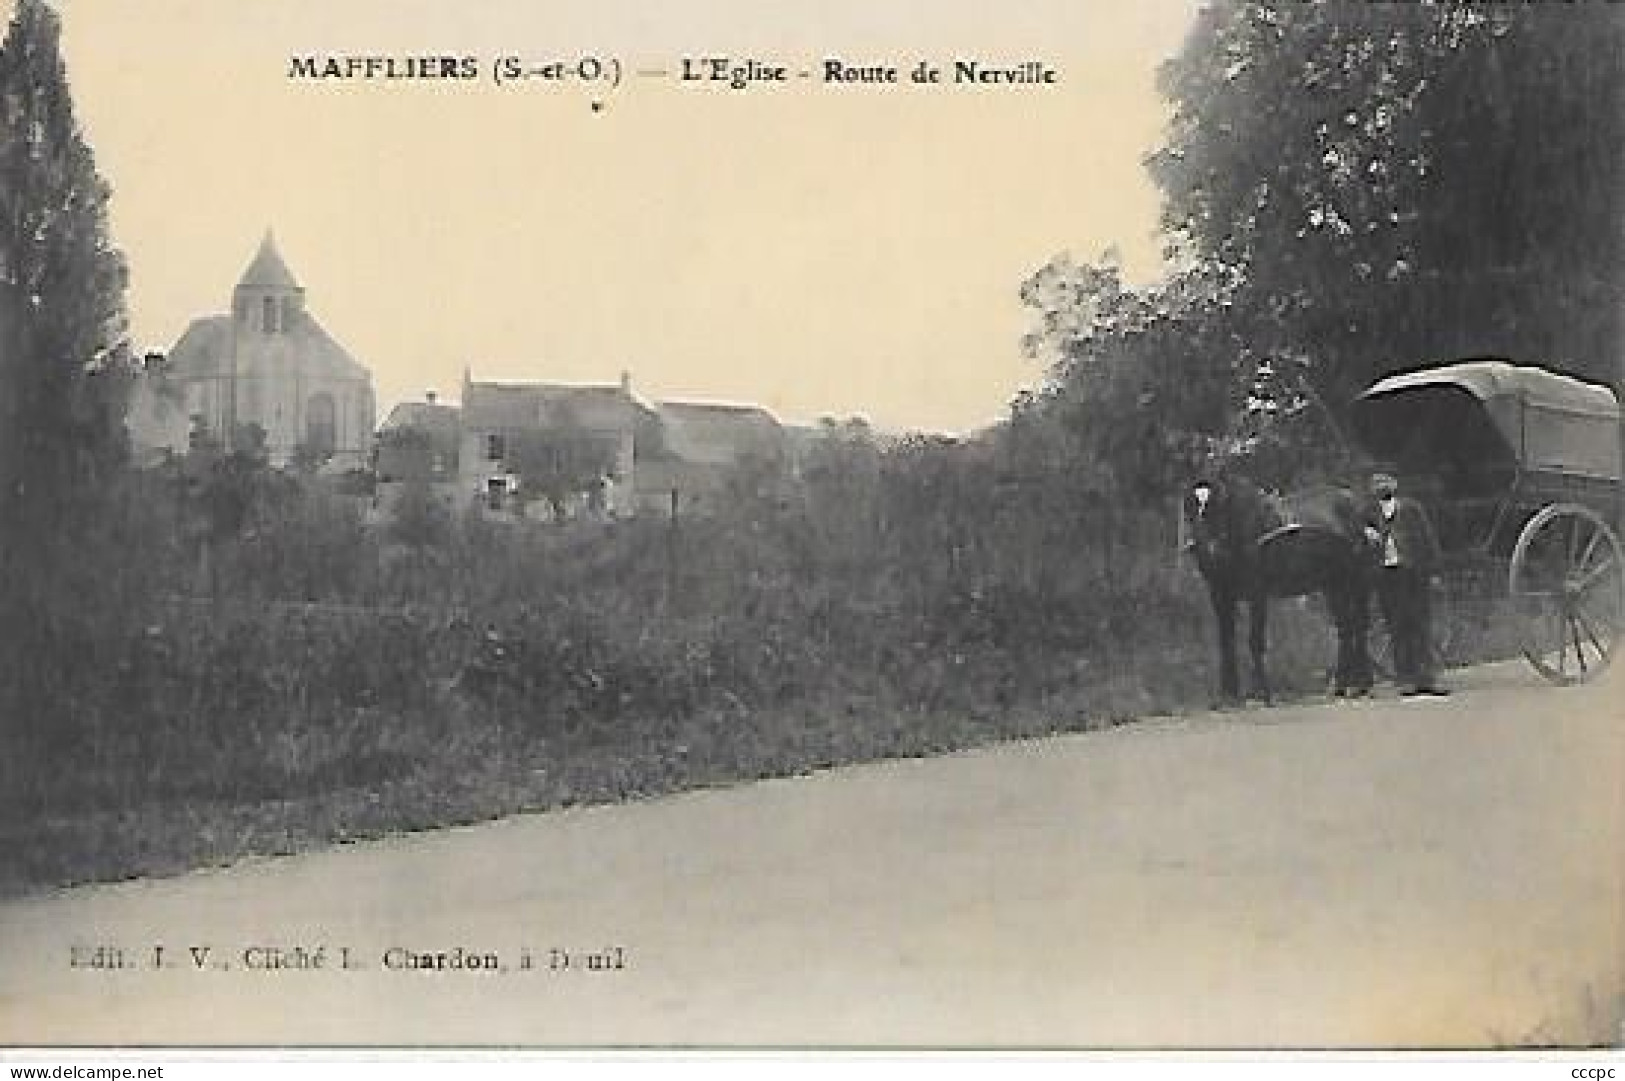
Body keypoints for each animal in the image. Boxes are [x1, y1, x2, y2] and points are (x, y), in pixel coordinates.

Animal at [1183, 471, 1371, 698]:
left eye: (1219, 504)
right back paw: (1343, 685)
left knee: (1358, 626)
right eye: (1189, 508)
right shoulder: (1219, 594)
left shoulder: (1258, 593)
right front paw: (1229, 693)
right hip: (1332, 584)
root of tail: (1354, 502)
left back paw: (1359, 684)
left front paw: (1261, 692)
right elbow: (1226, 642)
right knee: (1346, 628)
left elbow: (1255, 641)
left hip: (1355, 580)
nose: (1211, 552)